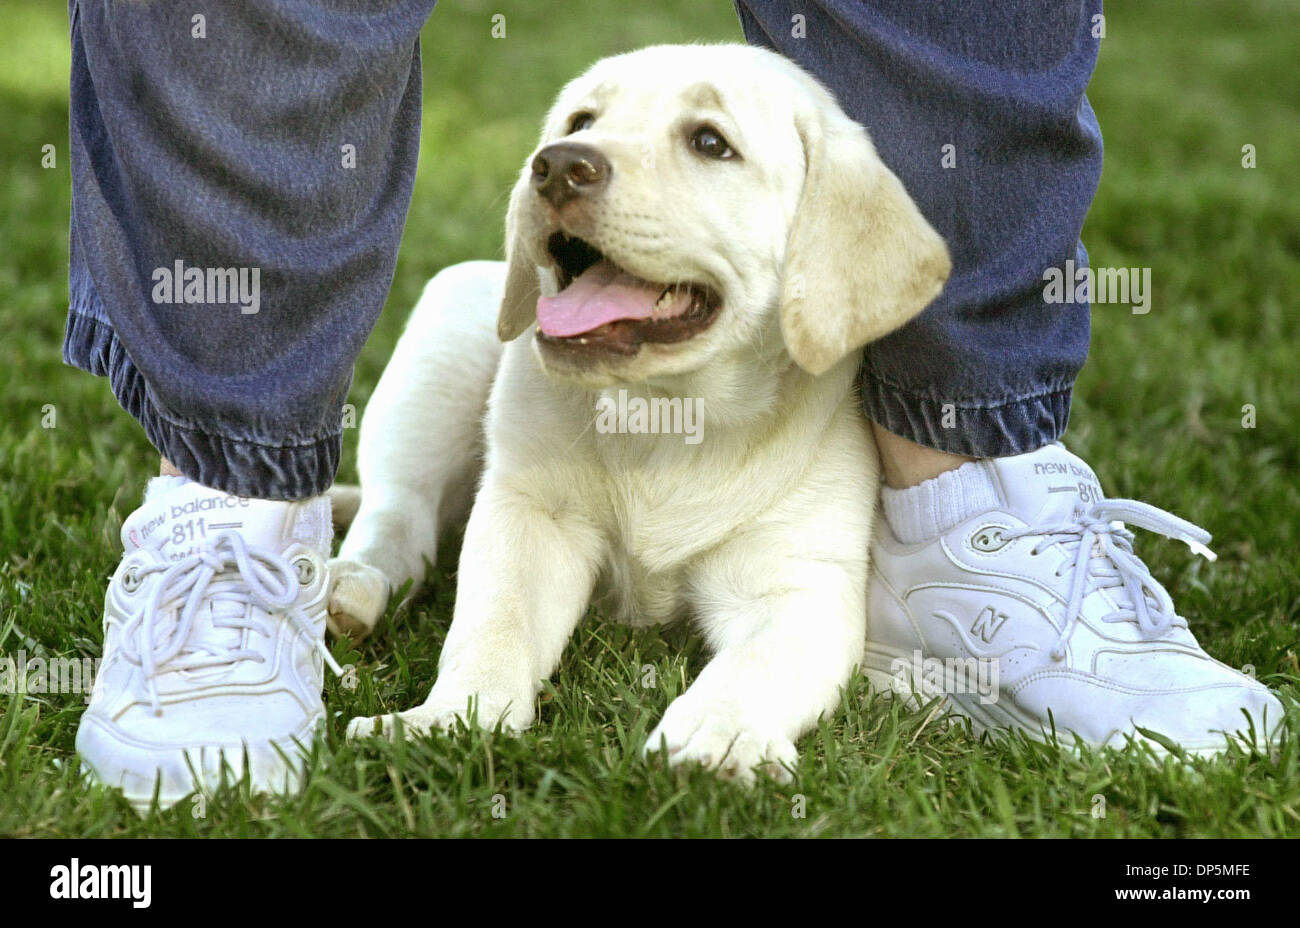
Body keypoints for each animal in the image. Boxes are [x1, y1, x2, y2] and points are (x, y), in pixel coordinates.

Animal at [330, 43, 951, 779]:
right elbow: (492, 625)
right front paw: (453, 717)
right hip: (448, 327)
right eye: (581, 120)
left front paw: (717, 736)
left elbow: (754, 666)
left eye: (710, 142)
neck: (664, 413)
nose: (558, 166)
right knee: (401, 513)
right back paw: (350, 588)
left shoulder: (799, 585)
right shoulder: (531, 514)